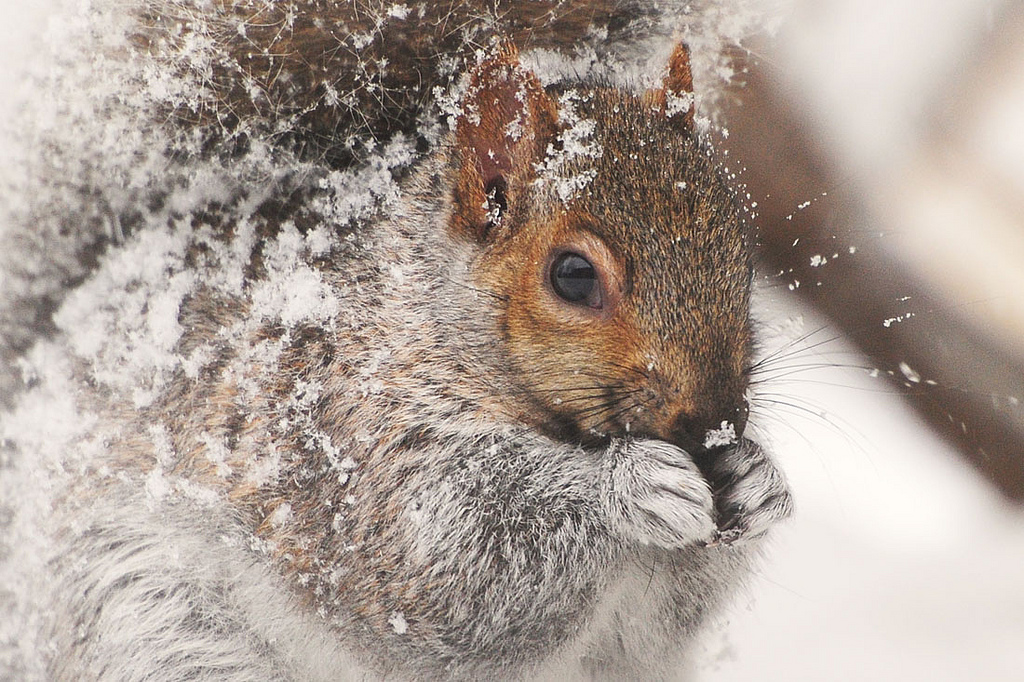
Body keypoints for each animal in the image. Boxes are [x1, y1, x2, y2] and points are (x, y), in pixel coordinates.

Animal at [0, 1, 790, 679]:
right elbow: (453, 563)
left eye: (739, 251)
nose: (717, 424)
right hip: (150, 622)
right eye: (572, 276)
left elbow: (662, 618)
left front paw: (757, 479)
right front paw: (628, 484)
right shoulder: (346, 446)